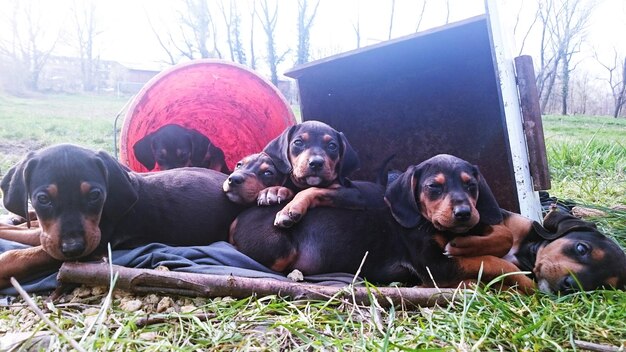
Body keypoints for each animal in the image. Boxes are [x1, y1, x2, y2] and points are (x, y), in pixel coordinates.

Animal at [0, 144, 244, 288]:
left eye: (95, 195)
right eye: (43, 198)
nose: (73, 249)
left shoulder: (96, 245)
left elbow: (24, 253)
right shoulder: (53, 235)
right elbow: (32, 234)